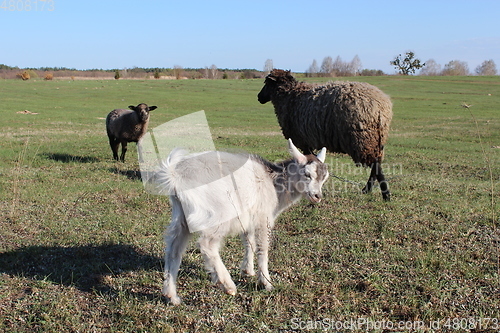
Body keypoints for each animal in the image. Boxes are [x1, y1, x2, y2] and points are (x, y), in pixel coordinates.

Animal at [156, 138, 328, 304]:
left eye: (324, 178)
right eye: (307, 174)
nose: (317, 196)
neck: (274, 183)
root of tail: (175, 175)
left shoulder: (249, 219)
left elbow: (249, 242)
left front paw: (247, 270)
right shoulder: (263, 217)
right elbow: (262, 247)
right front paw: (266, 282)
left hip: (181, 216)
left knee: (174, 249)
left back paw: (171, 296)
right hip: (219, 212)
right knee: (206, 244)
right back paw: (228, 285)